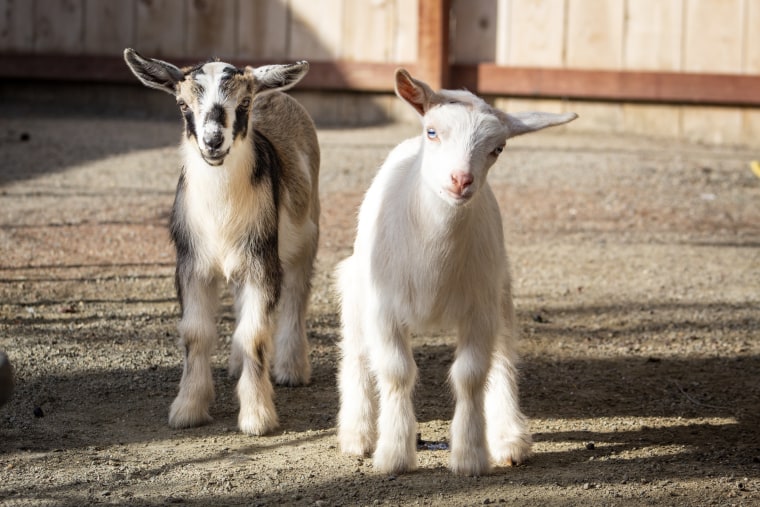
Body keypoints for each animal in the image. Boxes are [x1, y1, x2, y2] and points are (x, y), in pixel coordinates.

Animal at [123, 48, 320, 436]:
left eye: (243, 103)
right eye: (183, 105)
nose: (214, 141)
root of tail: (276, 93)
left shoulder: (262, 262)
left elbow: (254, 333)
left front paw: (257, 417)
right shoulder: (192, 265)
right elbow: (196, 333)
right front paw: (188, 409)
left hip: (307, 236)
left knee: (296, 295)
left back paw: (291, 370)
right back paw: (236, 366)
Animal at [338, 68, 576, 476]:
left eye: (498, 148)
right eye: (433, 132)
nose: (461, 180)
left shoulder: (480, 309)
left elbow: (471, 375)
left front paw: (470, 456)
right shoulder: (383, 309)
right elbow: (396, 371)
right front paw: (394, 455)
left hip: (500, 292)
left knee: (503, 357)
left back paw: (509, 439)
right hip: (356, 289)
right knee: (355, 352)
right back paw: (357, 434)